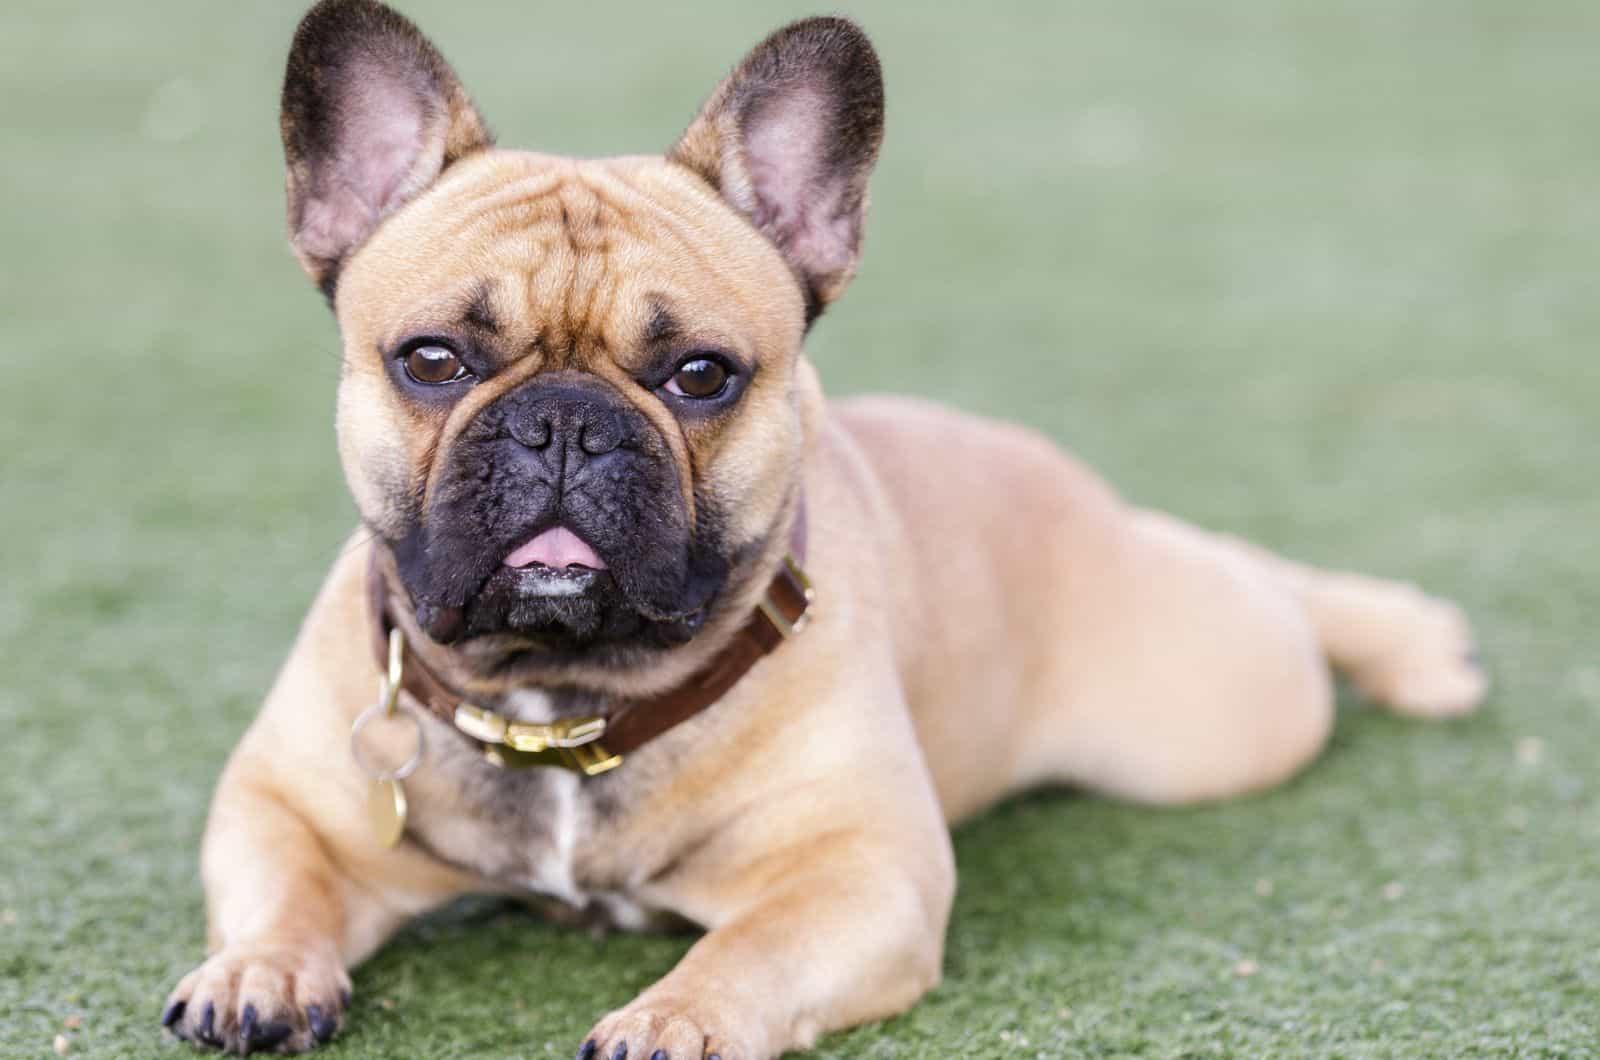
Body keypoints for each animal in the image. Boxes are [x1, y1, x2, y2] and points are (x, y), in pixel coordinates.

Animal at [159, 4, 1484, 1056]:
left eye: (700, 375)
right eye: (432, 360)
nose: (566, 425)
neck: (565, 695)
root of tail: (1076, 491)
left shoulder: (859, 871)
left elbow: (745, 951)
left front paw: (673, 1019)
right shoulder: (283, 800)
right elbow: (280, 882)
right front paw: (255, 970)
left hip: (1214, 716)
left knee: (1265, 589)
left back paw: (1406, 637)